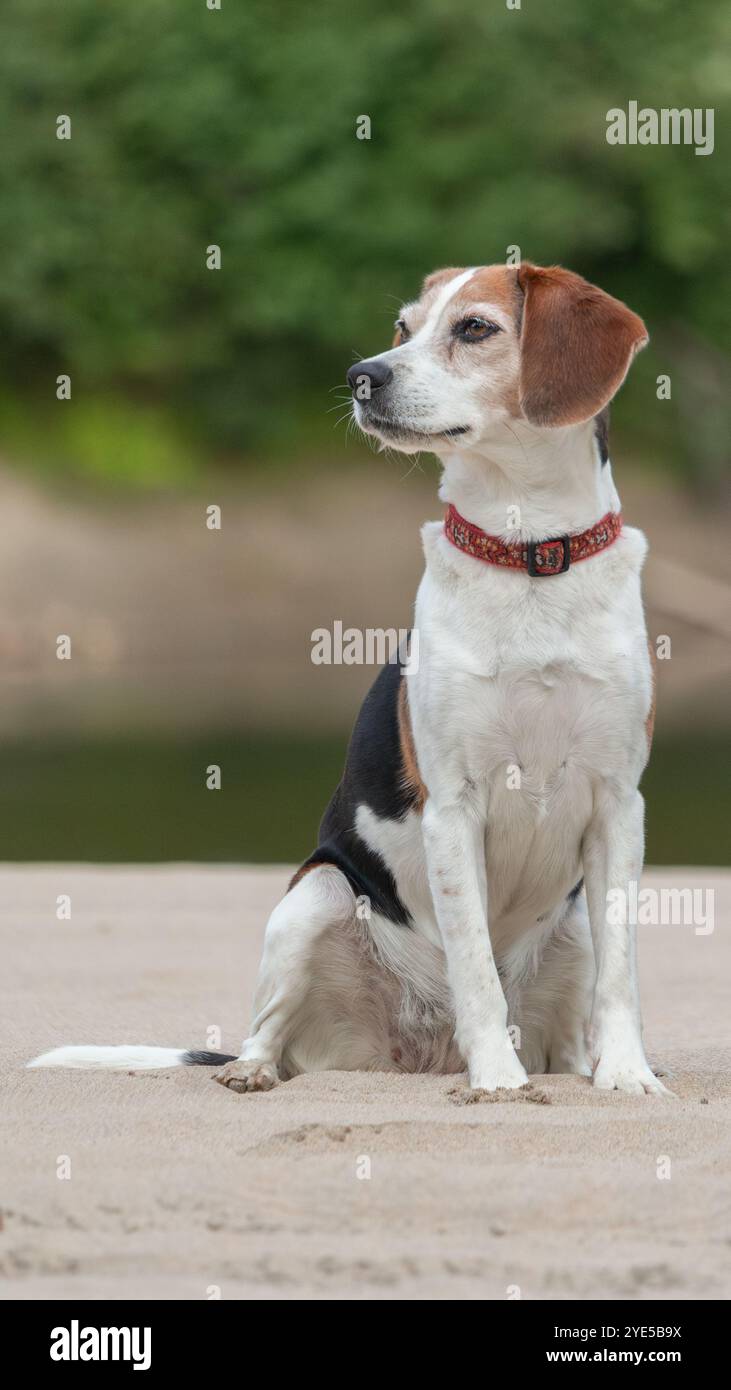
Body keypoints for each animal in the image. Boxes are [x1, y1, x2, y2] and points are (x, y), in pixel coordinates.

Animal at [28, 261, 669, 1095]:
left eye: (474, 328)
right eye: (403, 327)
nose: (363, 377)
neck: (527, 552)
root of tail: (424, 1050)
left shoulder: (617, 805)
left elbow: (621, 976)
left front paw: (625, 1072)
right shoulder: (452, 806)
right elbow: (474, 966)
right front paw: (497, 1080)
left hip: (570, 929)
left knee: (569, 1018)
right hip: (315, 895)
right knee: (267, 1033)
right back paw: (256, 1071)